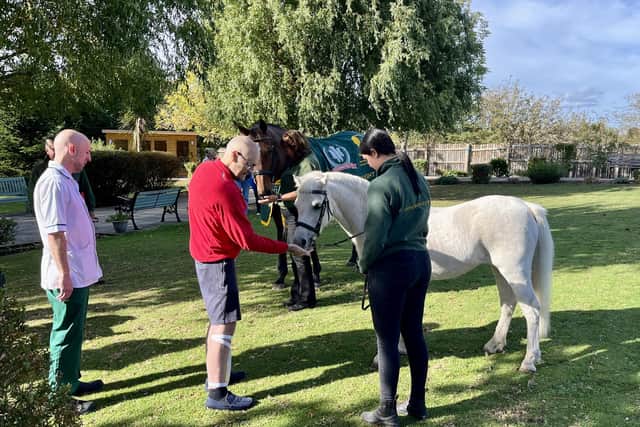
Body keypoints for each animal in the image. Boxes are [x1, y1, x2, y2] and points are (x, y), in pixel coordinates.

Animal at [292, 171, 554, 373]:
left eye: (316, 206)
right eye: (295, 206)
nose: (299, 242)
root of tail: (526, 206)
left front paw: (383, 357)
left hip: (514, 273)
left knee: (532, 311)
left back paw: (529, 361)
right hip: (500, 271)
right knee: (508, 304)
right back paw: (495, 345)